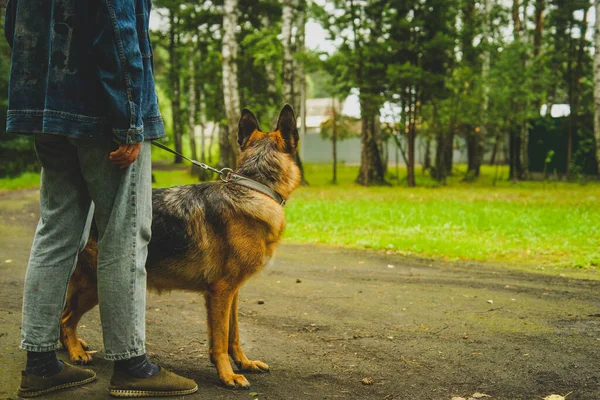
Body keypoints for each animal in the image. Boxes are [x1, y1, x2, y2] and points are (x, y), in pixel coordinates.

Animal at [59, 105, 300, 388]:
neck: (254, 187)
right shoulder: (220, 292)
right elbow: (220, 340)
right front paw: (227, 374)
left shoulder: (232, 293)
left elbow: (234, 336)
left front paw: (244, 363)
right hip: (95, 285)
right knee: (66, 319)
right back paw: (75, 352)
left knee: (62, 314)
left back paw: (72, 345)